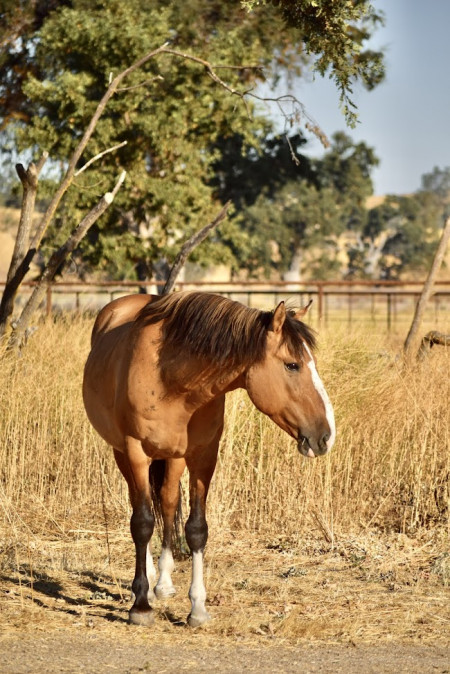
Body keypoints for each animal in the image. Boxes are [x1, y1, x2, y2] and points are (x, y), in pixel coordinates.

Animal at [81, 292, 334, 628]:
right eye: (292, 365)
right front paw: (140, 606)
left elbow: (196, 528)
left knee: (168, 500)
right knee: (139, 506)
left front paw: (197, 607)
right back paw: (147, 583)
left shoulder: (203, 454)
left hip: (174, 457)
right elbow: (142, 523)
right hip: (122, 453)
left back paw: (162, 583)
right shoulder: (136, 451)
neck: (171, 379)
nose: (326, 435)